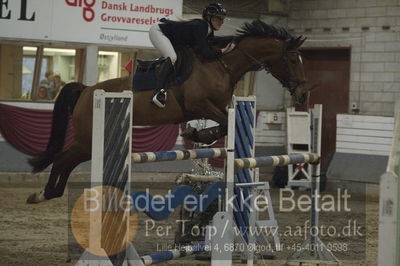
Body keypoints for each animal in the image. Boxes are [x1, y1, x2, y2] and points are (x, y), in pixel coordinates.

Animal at [27, 19, 312, 203]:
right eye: (291, 59)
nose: (303, 94)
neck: (222, 66)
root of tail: (87, 90)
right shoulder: (198, 105)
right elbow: (220, 122)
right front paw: (199, 135)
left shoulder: (216, 106)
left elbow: (222, 124)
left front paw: (199, 135)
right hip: (88, 139)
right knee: (62, 159)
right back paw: (41, 194)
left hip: (90, 141)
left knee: (66, 160)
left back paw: (48, 193)